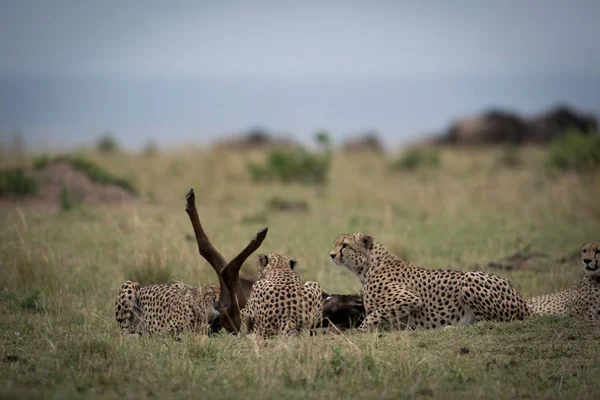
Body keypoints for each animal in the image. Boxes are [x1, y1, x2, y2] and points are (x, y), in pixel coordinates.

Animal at [330, 231, 532, 332]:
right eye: (335, 244)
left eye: (344, 245)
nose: (331, 255)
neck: (368, 266)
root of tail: (522, 300)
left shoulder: (409, 299)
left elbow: (375, 314)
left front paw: (361, 330)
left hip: (469, 277)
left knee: (493, 322)